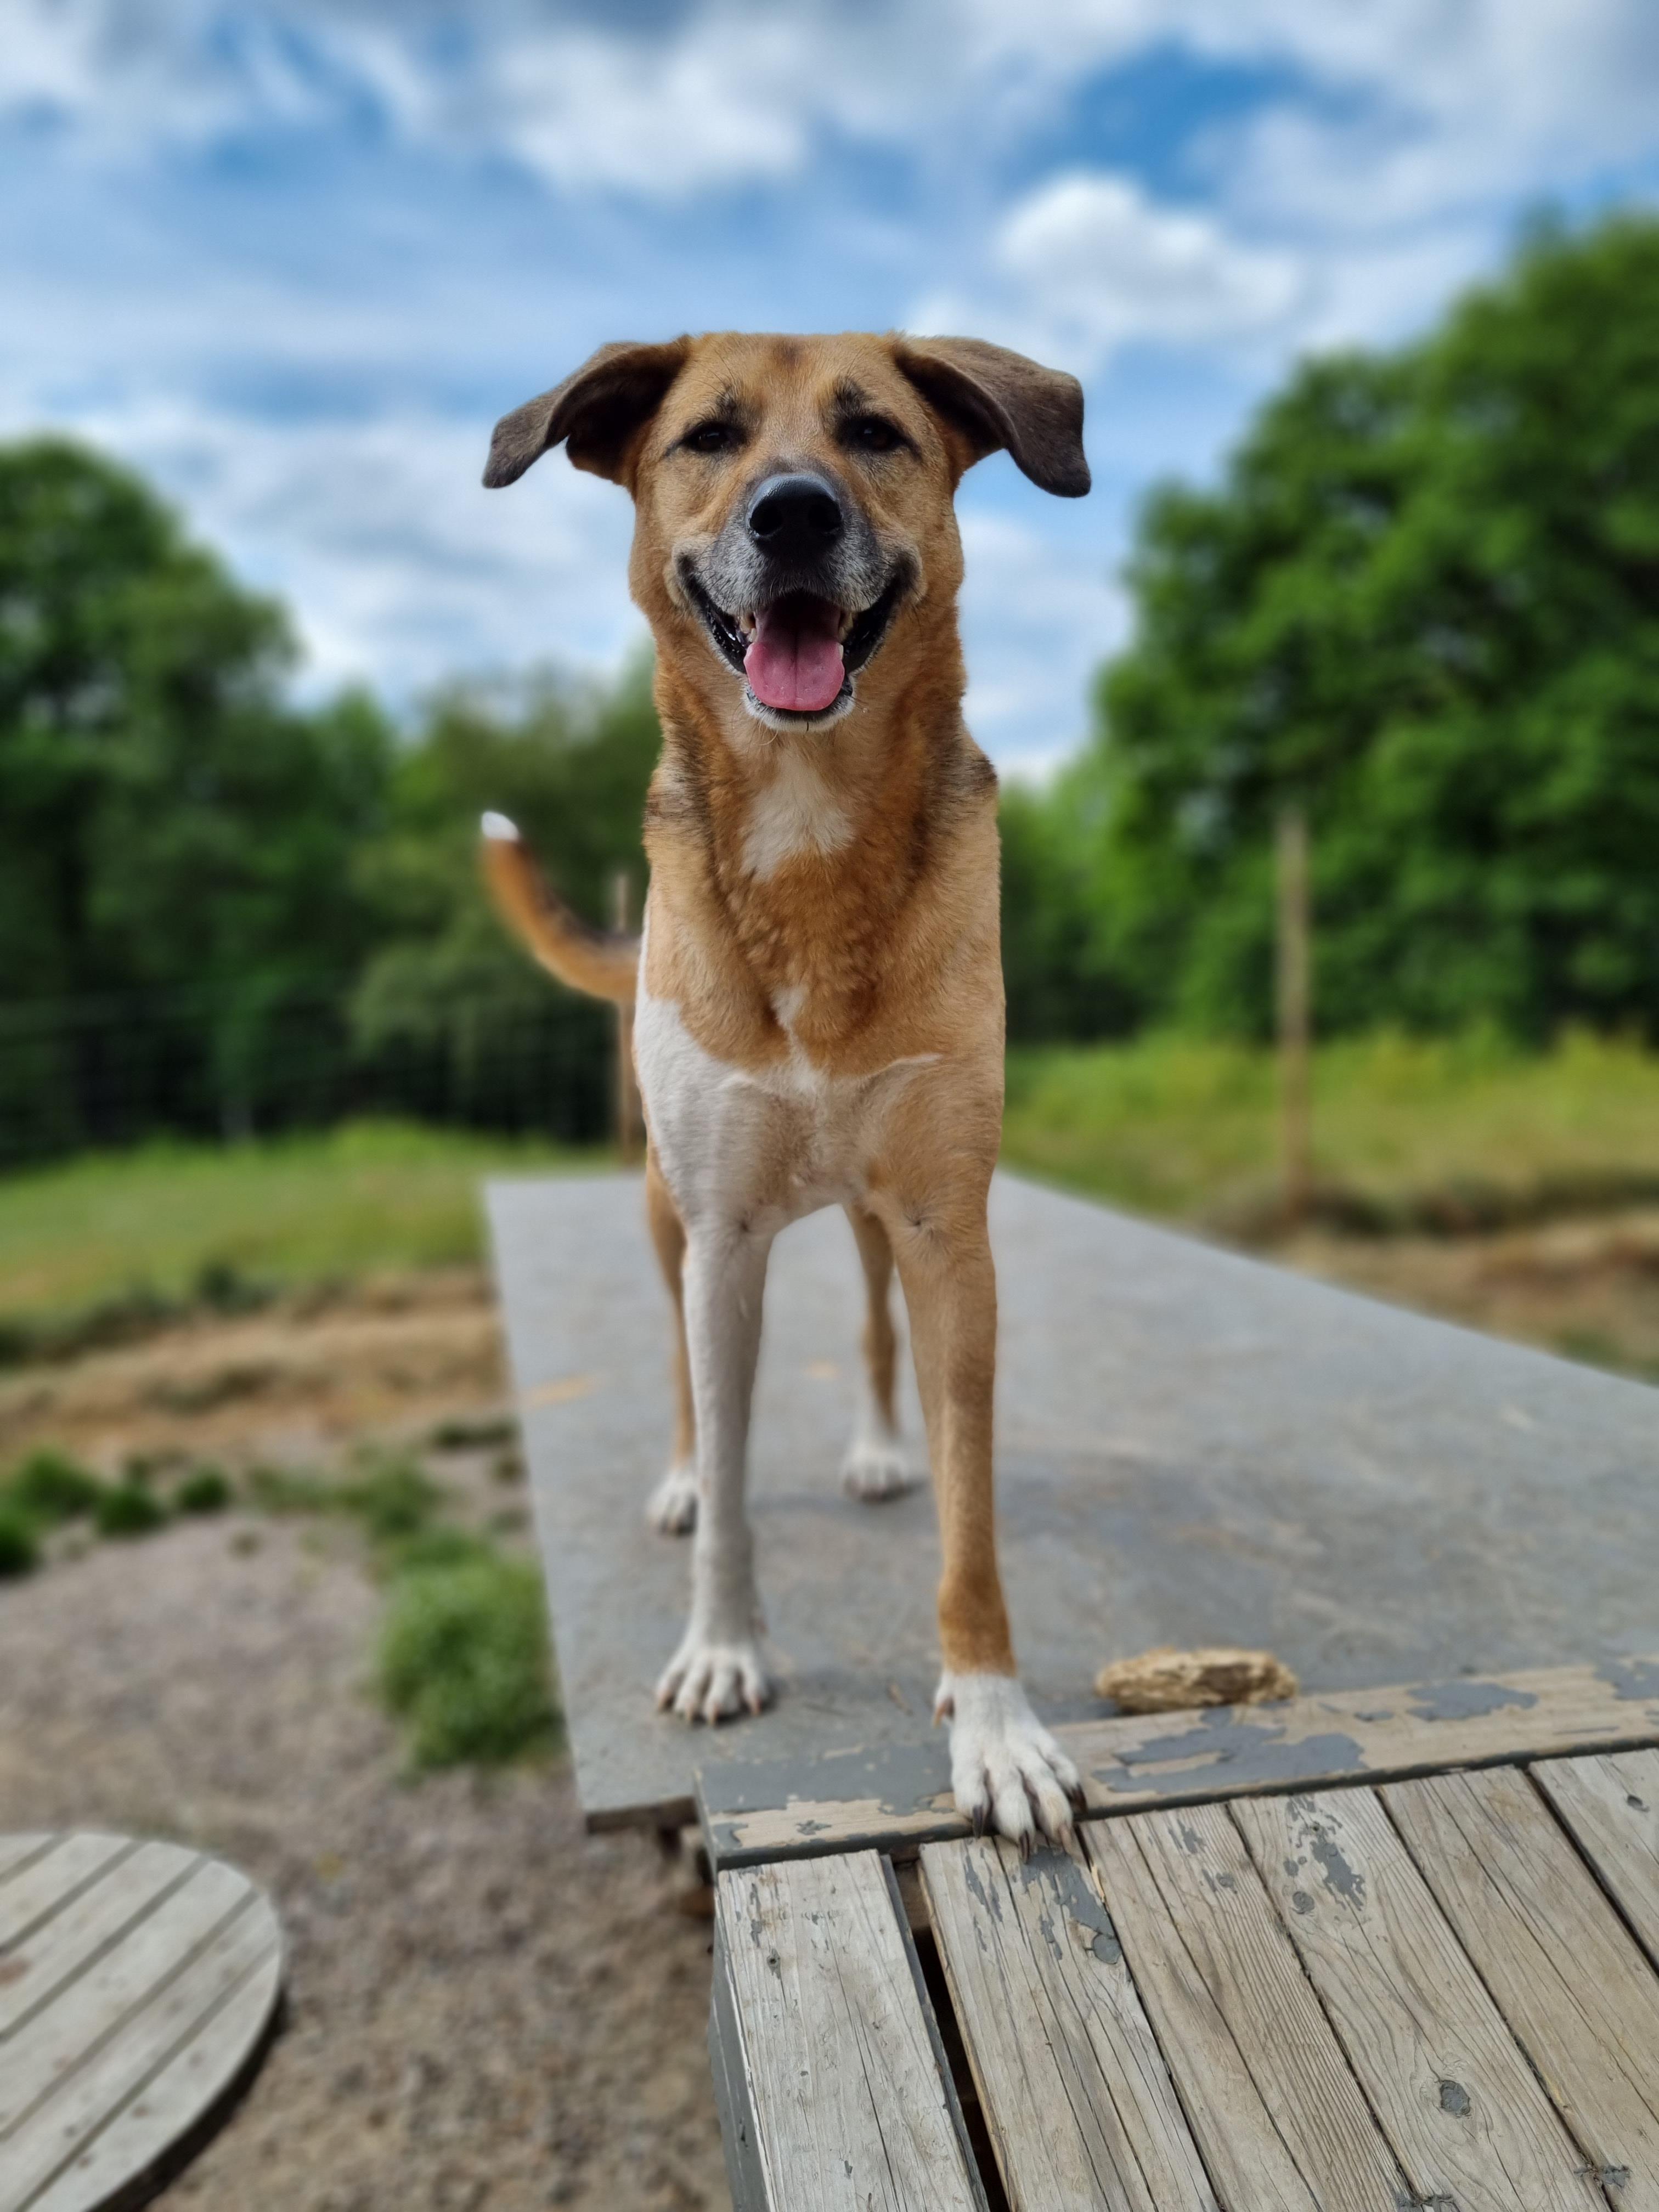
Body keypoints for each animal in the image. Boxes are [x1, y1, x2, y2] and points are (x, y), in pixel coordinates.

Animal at [479, 331, 1089, 1849]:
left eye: (874, 431)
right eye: (709, 436)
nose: (796, 514)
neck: (811, 824)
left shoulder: (944, 1224)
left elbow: (971, 1524)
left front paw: (996, 1726)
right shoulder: (723, 1238)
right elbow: (735, 1465)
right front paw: (722, 1649)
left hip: (873, 1220)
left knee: (872, 1336)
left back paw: (880, 1448)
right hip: (668, 1216)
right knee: (690, 1389)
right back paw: (685, 1482)